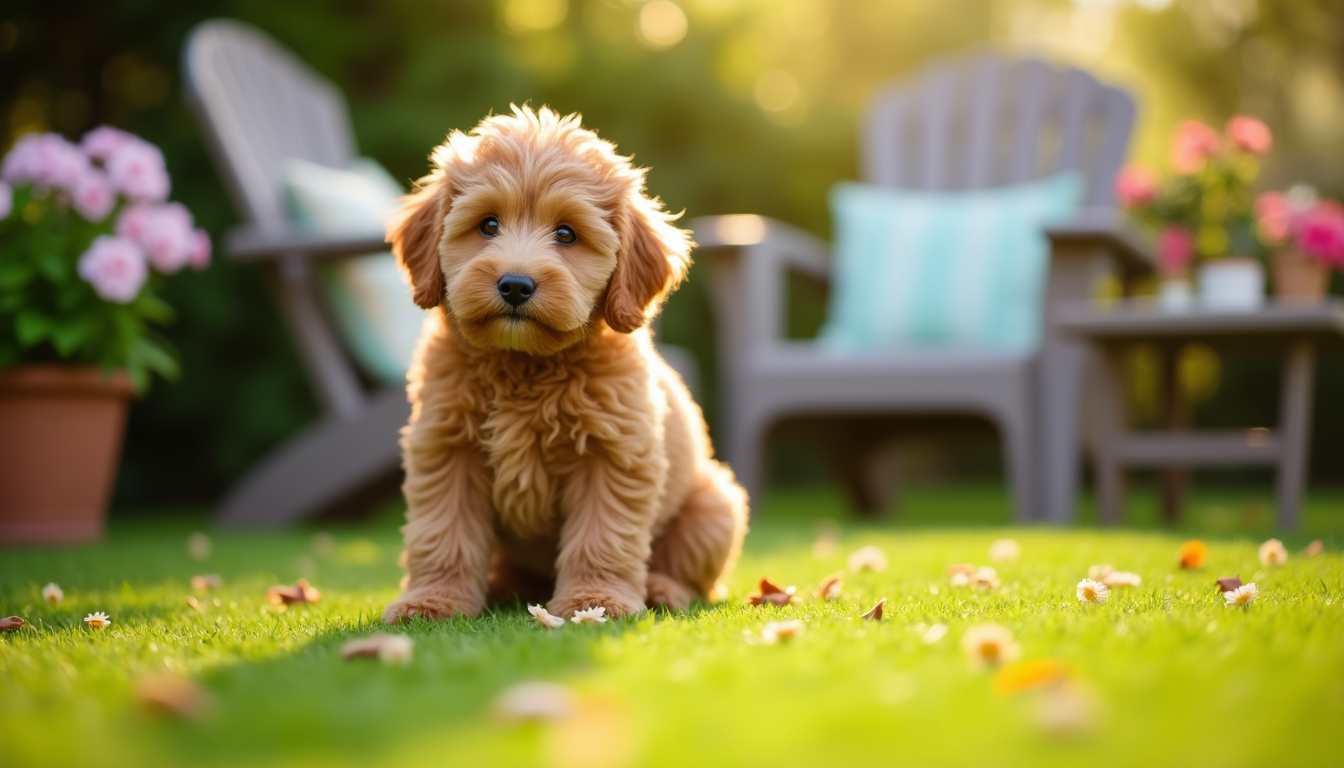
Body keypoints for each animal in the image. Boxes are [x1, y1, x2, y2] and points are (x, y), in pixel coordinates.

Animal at [384, 106, 752, 624]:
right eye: (488, 225)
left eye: (566, 234)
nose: (515, 285)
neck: (524, 367)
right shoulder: (447, 447)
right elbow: (443, 534)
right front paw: (433, 602)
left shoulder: (613, 454)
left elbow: (603, 537)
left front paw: (593, 603)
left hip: (716, 505)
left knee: (692, 574)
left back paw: (661, 589)